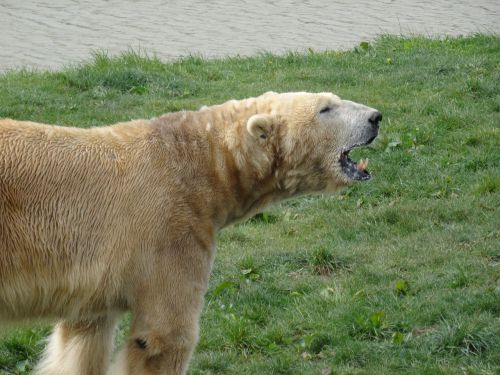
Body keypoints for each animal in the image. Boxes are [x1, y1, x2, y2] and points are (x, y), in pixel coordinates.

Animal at [0, 92, 380, 375]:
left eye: (334, 99)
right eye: (326, 108)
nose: (376, 117)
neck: (199, 162)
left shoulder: (94, 274)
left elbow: (82, 338)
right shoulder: (169, 231)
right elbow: (165, 335)